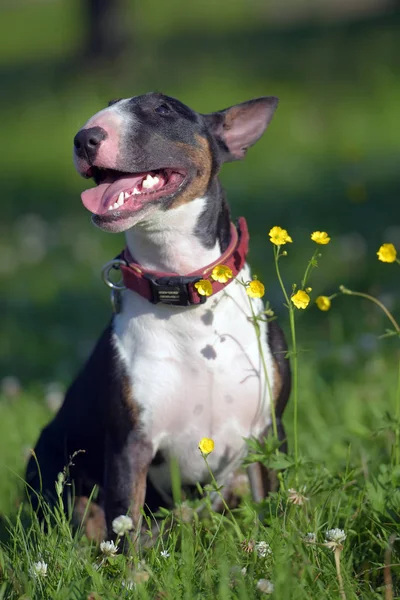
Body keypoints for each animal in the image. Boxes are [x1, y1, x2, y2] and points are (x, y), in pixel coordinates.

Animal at [25, 91, 290, 540]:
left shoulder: (269, 429)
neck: (182, 294)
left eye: (163, 109)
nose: (84, 138)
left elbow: (273, 505)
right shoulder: (130, 444)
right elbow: (123, 529)